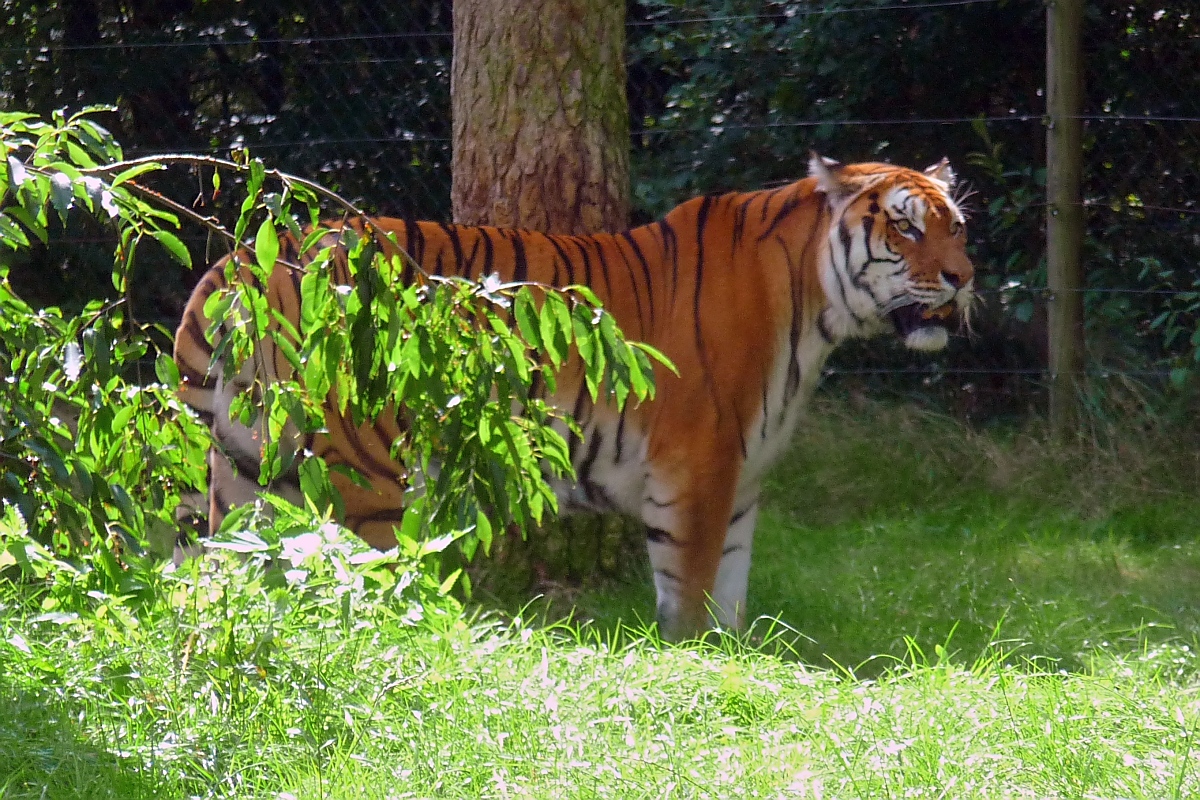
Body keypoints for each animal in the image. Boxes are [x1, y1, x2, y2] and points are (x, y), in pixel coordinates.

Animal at [171, 154, 974, 642]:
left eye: (957, 227)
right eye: (906, 226)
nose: (963, 278)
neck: (816, 308)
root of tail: (240, 260)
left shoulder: (743, 484)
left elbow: (732, 599)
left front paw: (732, 663)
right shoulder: (697, 471)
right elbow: (689, 593)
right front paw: (690, 665)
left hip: (246, 467)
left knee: (220, 571)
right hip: (361, 471)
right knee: (357, 579)